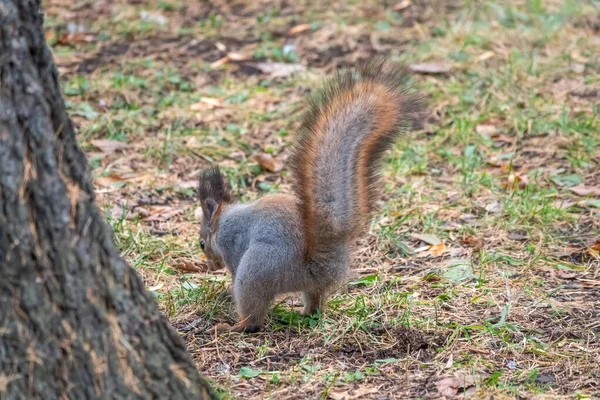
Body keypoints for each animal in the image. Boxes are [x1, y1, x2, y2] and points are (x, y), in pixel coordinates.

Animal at [197, 59, 422, 332]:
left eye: (202, 243)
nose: (210, 266)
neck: (223, 219)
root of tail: (318, 264)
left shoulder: (232, 244)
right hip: (308, 285)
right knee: (316, 302)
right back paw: (304, 314)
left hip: (256, 270)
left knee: (254, 315)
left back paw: (234, 326)